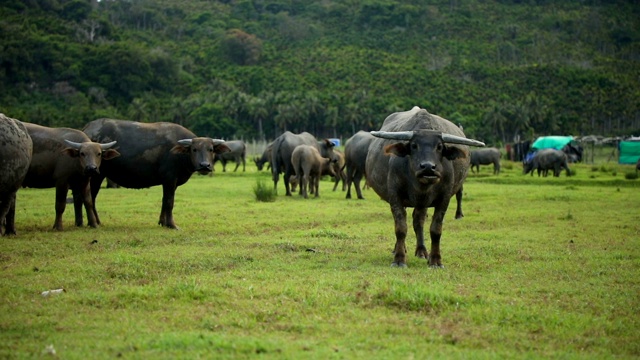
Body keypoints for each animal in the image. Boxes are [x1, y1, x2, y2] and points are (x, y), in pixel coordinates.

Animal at [81, 119, 229, 229]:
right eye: (194, 149)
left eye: (210, 149)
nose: (204, 165)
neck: (180, 155)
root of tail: (86, 130)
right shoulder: (170, 179)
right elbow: (170, 201)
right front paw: (172, 225)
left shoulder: (171, 183)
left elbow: (164, 200)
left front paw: (163, 222)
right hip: (96, 176)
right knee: (91, 198)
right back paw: (95, 222)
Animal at [362, 107, 482, 268]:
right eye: (414, 146)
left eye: (439, 147)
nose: (428, 167)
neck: (420, 185)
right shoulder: (395, 196)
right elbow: (400, 228)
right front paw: (399, 259)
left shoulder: (443, 199)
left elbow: (436, 230)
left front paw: (436, 260)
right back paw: (399, 249)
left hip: (423, 203)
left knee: (418, 221)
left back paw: (422, 251)